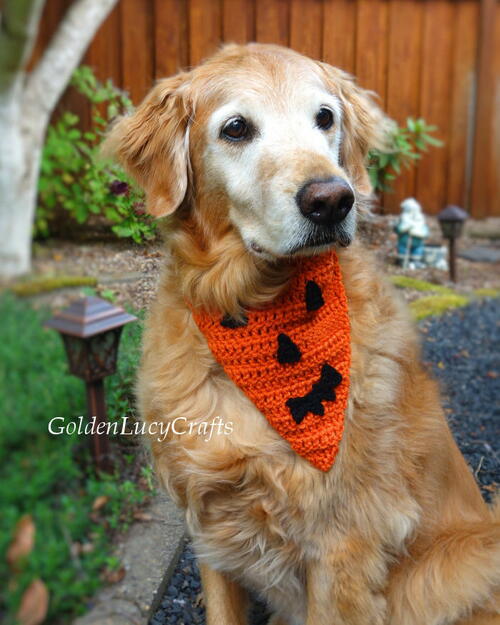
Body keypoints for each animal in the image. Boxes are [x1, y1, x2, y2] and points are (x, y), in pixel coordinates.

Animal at [103, 44, 498, 624]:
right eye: (236, 128)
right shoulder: (210, 521)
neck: (254, 306)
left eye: (325, 118)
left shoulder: (342, 546)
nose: (333, 200)